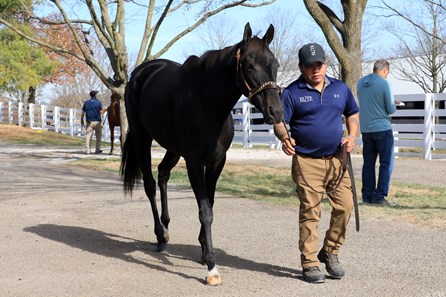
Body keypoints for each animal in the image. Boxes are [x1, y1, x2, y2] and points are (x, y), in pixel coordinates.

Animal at [119, 22, 282, 282]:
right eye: (249, 65)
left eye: (275, 64)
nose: (275, 111)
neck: (207, 101)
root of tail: (139, 74)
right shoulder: (194, 161)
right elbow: (204, 210)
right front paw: (212, 267)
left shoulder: (217, 160)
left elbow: (211, 205)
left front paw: (205, 251)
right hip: (141, 138)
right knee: (149, 184)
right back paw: (160, 236)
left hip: (172, 148)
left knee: (163, 173)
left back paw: (166, 227)